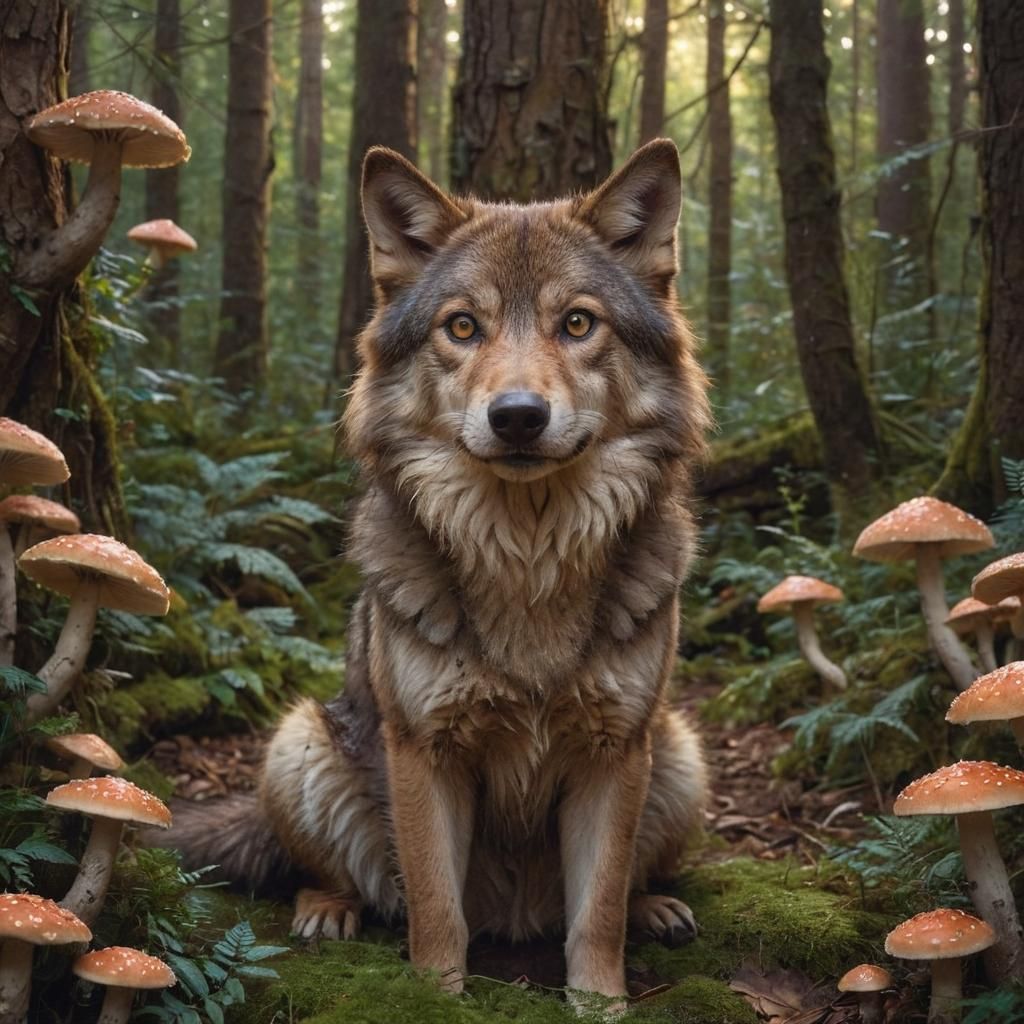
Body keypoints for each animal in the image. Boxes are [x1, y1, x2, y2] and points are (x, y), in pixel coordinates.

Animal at [167, 139, 711, 1003]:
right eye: (462, 326)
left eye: (577, 323)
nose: (517, 416)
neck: (527, 560)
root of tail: (514, 917)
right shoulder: (423, 751)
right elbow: (433, 910)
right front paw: (431, 996)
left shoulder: (615, 750)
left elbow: (597, 914)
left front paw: (602, 1004)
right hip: (299, 740)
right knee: (338, 875)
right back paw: (327, 909)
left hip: (680, 750)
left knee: (627, 886)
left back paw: (657, 906)